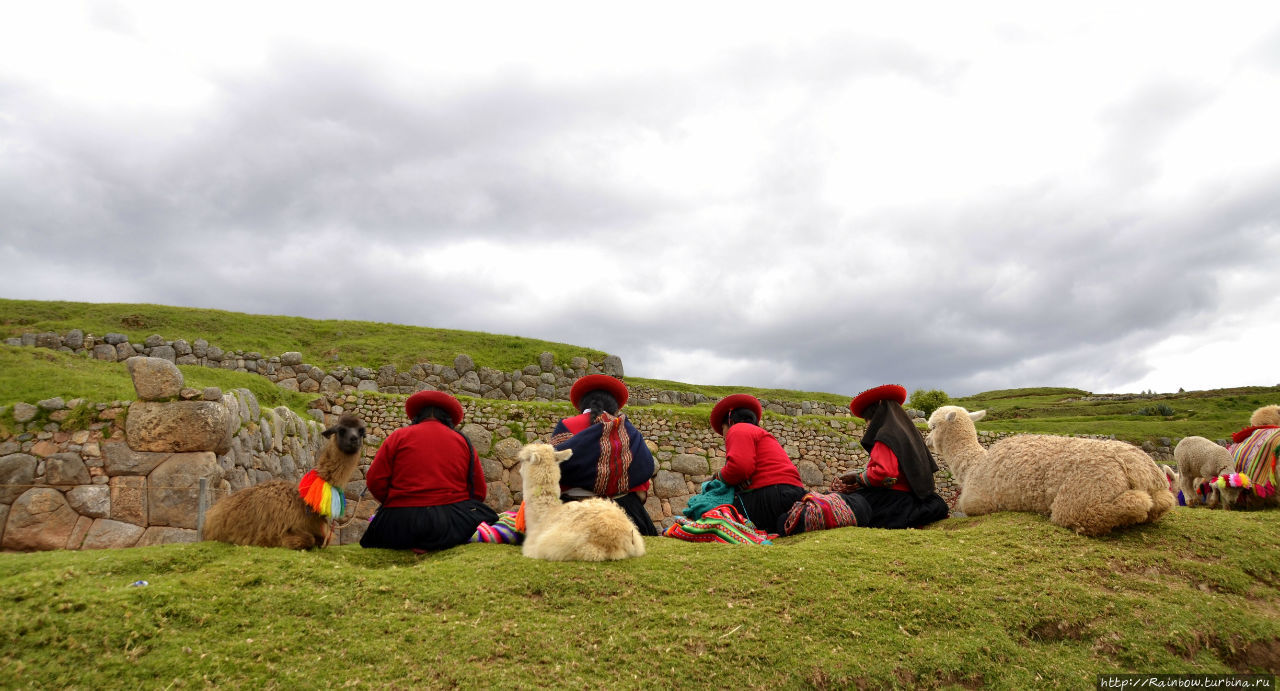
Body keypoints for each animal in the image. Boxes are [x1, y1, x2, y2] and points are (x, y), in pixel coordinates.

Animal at [202, 412, 366, 547]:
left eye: (361, 431)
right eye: (341, 430)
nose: (354, 439)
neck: (304, 502)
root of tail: (211, 512)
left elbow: (321, 540)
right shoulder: (274, 534)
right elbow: (307, 539)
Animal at [926, 406, 1172, 537]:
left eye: (933, 426)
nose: (927, 440)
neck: (973, 466)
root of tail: (1137, 467)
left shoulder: (977, 504)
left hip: (1083, 496)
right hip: (1161, 490)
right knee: (1163, 502)